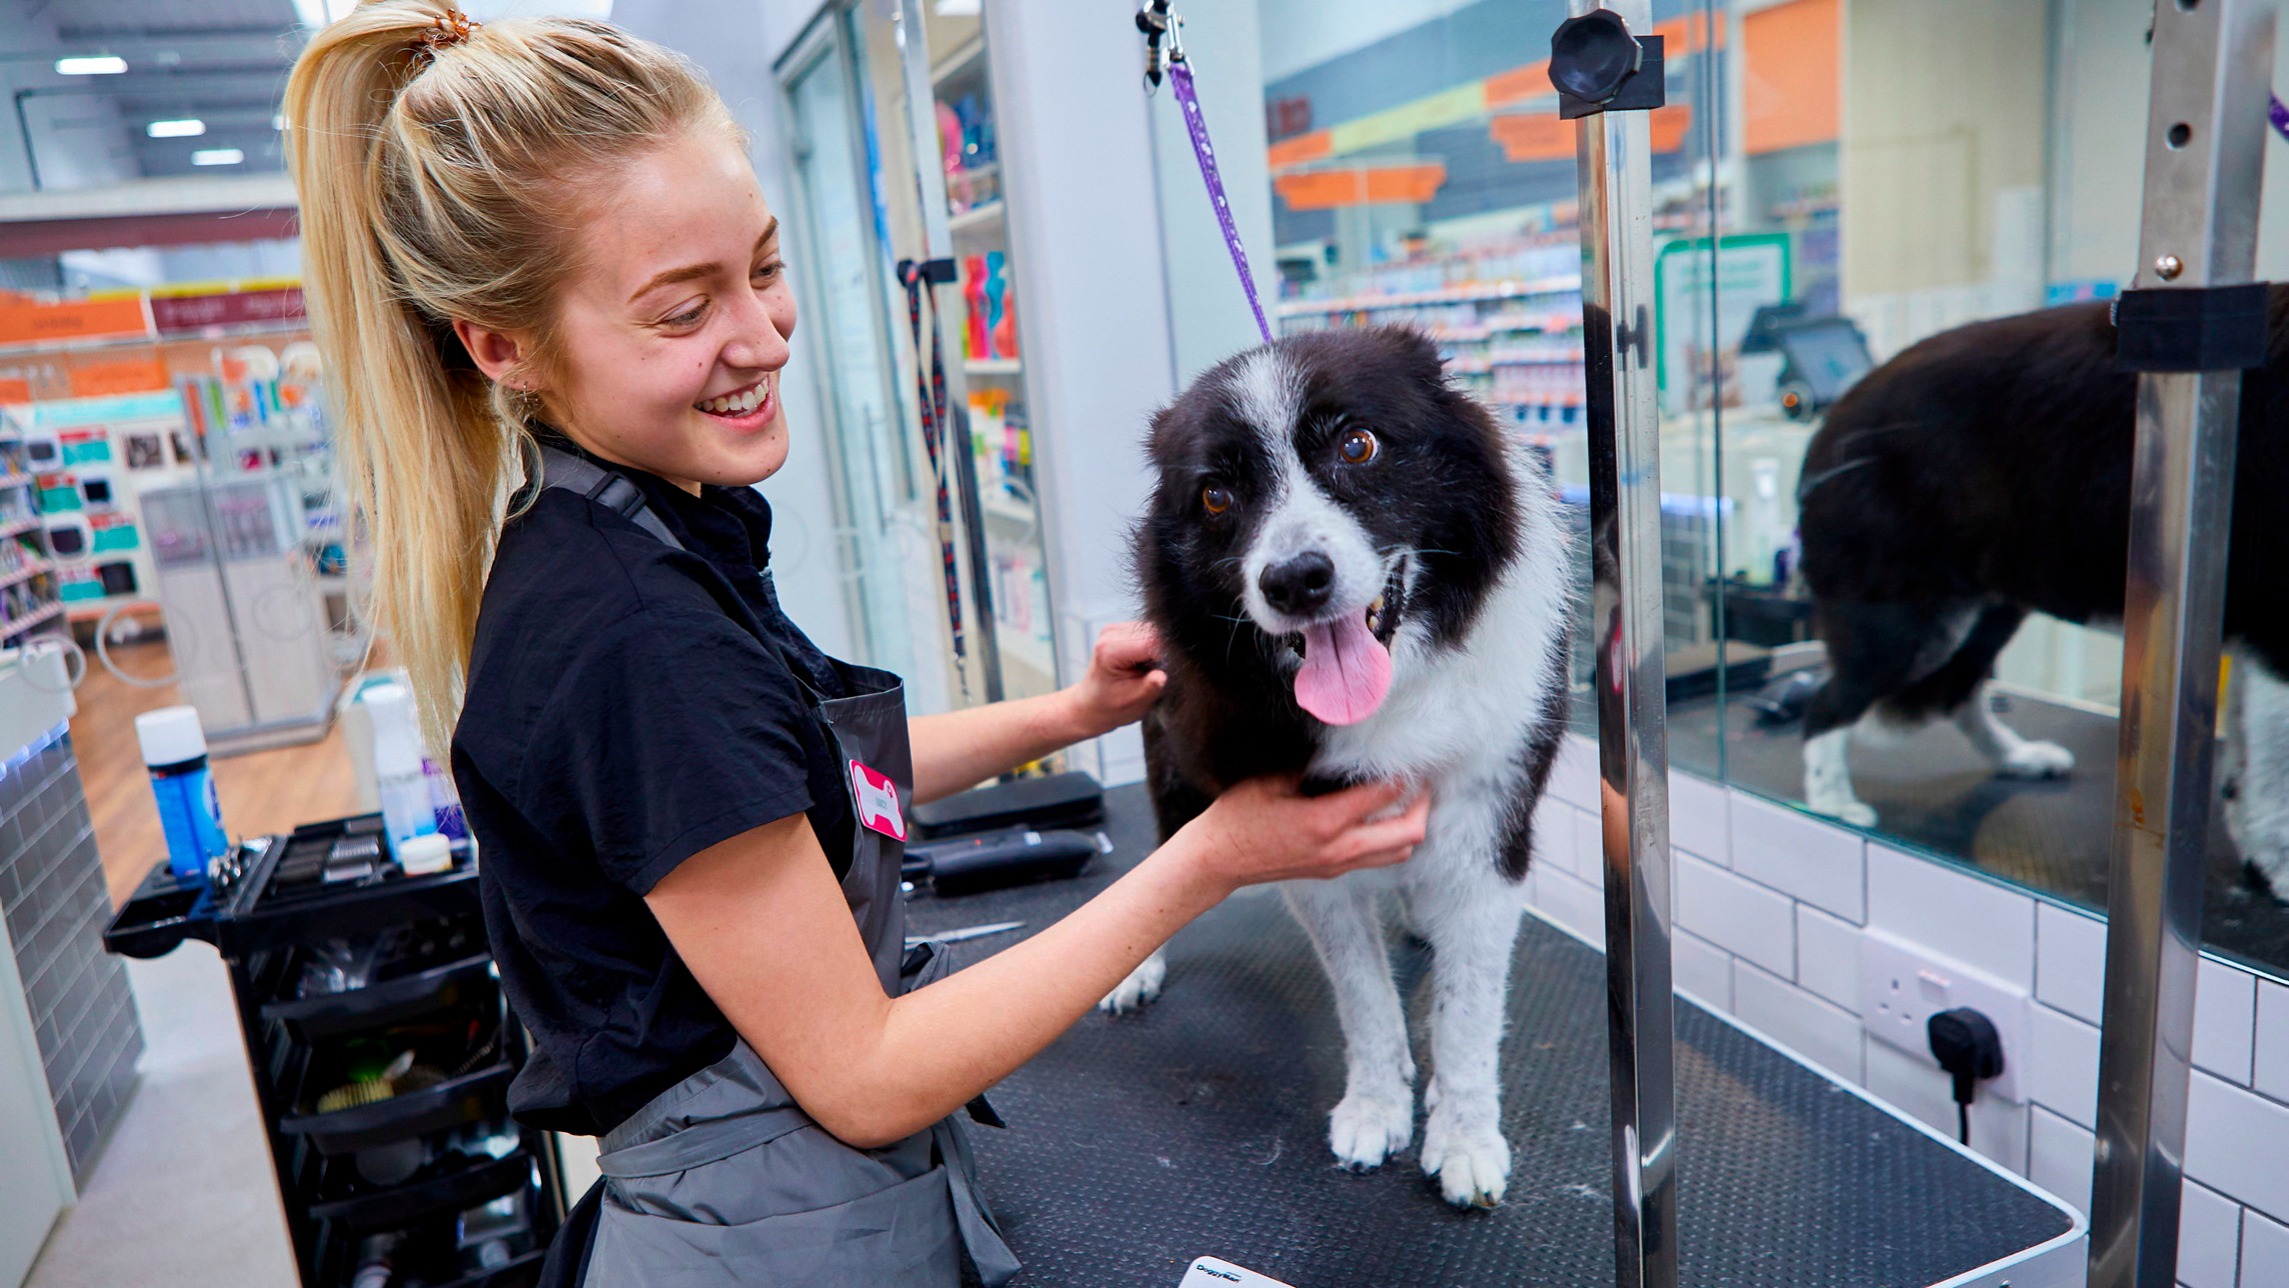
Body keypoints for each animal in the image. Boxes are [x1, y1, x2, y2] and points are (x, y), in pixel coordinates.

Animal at [1103, 324, 1574, 1207]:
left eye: (1357, 445)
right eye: (1214, 496)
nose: (1295, 580)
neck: (1390, 698)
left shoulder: (1487, 834)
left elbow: (1465, 1012)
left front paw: (1462, 1136)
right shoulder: (1305, 849)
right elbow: (1363, 997)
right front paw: (1376, 1105)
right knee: (1154, 862)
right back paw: (1132, 966)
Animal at [1794, 288, 2279, 901]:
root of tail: (1832, 421)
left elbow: (2252, 762)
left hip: (1989, 609)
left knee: (1958, 693)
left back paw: (2017, 756)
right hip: (1913, 624)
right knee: (1827, 705)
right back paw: (1832, 801)